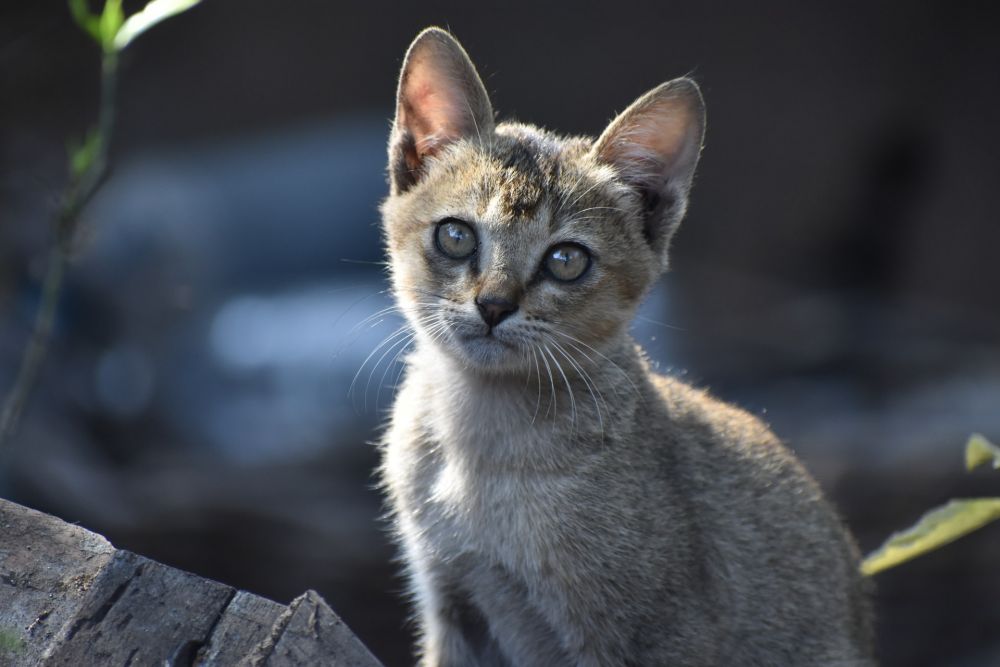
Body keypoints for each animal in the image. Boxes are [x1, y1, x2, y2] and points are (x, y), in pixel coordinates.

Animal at [378, 27, 872, 667]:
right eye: (456, 235)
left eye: (566, 260)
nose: (493, 305)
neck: (480, 449)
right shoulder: (453, 606)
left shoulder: (659, 637)